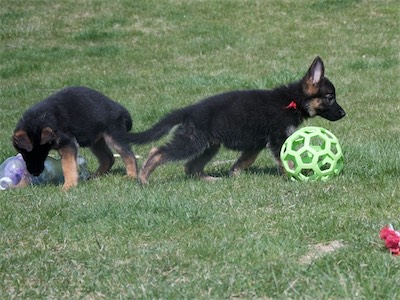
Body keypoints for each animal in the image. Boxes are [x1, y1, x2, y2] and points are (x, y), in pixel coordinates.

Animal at [130, 56, 346, 183]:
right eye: (330, 97)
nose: (344, 114)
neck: (292, 100)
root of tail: (189, 111)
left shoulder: (256, 144)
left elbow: (246, 160)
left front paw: (234, 173)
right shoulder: (278, 139)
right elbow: (286, 161)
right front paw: (294, 176)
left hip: (210, 145)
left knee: (190, 167)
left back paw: (210, 179)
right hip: (192, 142)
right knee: (158, 151)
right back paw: (143, 177)